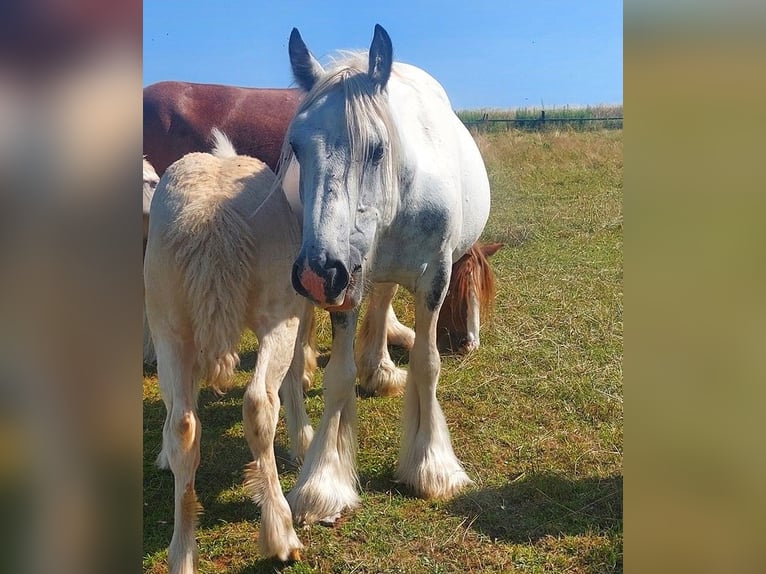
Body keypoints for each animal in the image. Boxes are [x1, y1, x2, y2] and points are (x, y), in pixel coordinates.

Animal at [142, 132, 314, 572]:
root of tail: (212, 217)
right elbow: (292, 375)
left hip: (169, 323)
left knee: (183, 425)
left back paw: (182, 552)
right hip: (277, 312)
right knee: (259, 403)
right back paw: (281, 534)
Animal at [282, 23, 492, 528]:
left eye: (377, 148)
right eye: (296, 146)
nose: (318, 272)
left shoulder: (434, 279)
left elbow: (428, 364)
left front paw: (431, 466)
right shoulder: (346, 285)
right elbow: (338, 375)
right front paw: (322, 482)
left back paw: (380, 369)